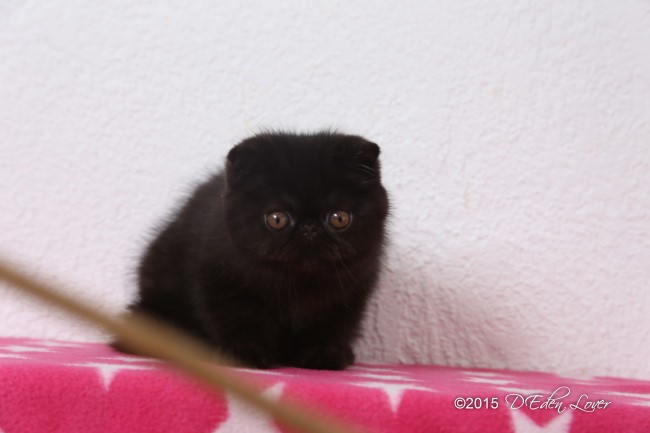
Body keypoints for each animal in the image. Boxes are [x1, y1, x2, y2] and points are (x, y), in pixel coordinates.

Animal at [114, 131, 389, 370]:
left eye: (339, 218)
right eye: (277, 219)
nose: (309, 228)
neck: (298, 283)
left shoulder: (351, 292)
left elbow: (334, 325)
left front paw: (324, 353)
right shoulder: (222, 281)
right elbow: (240, 318)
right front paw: (244, 353)